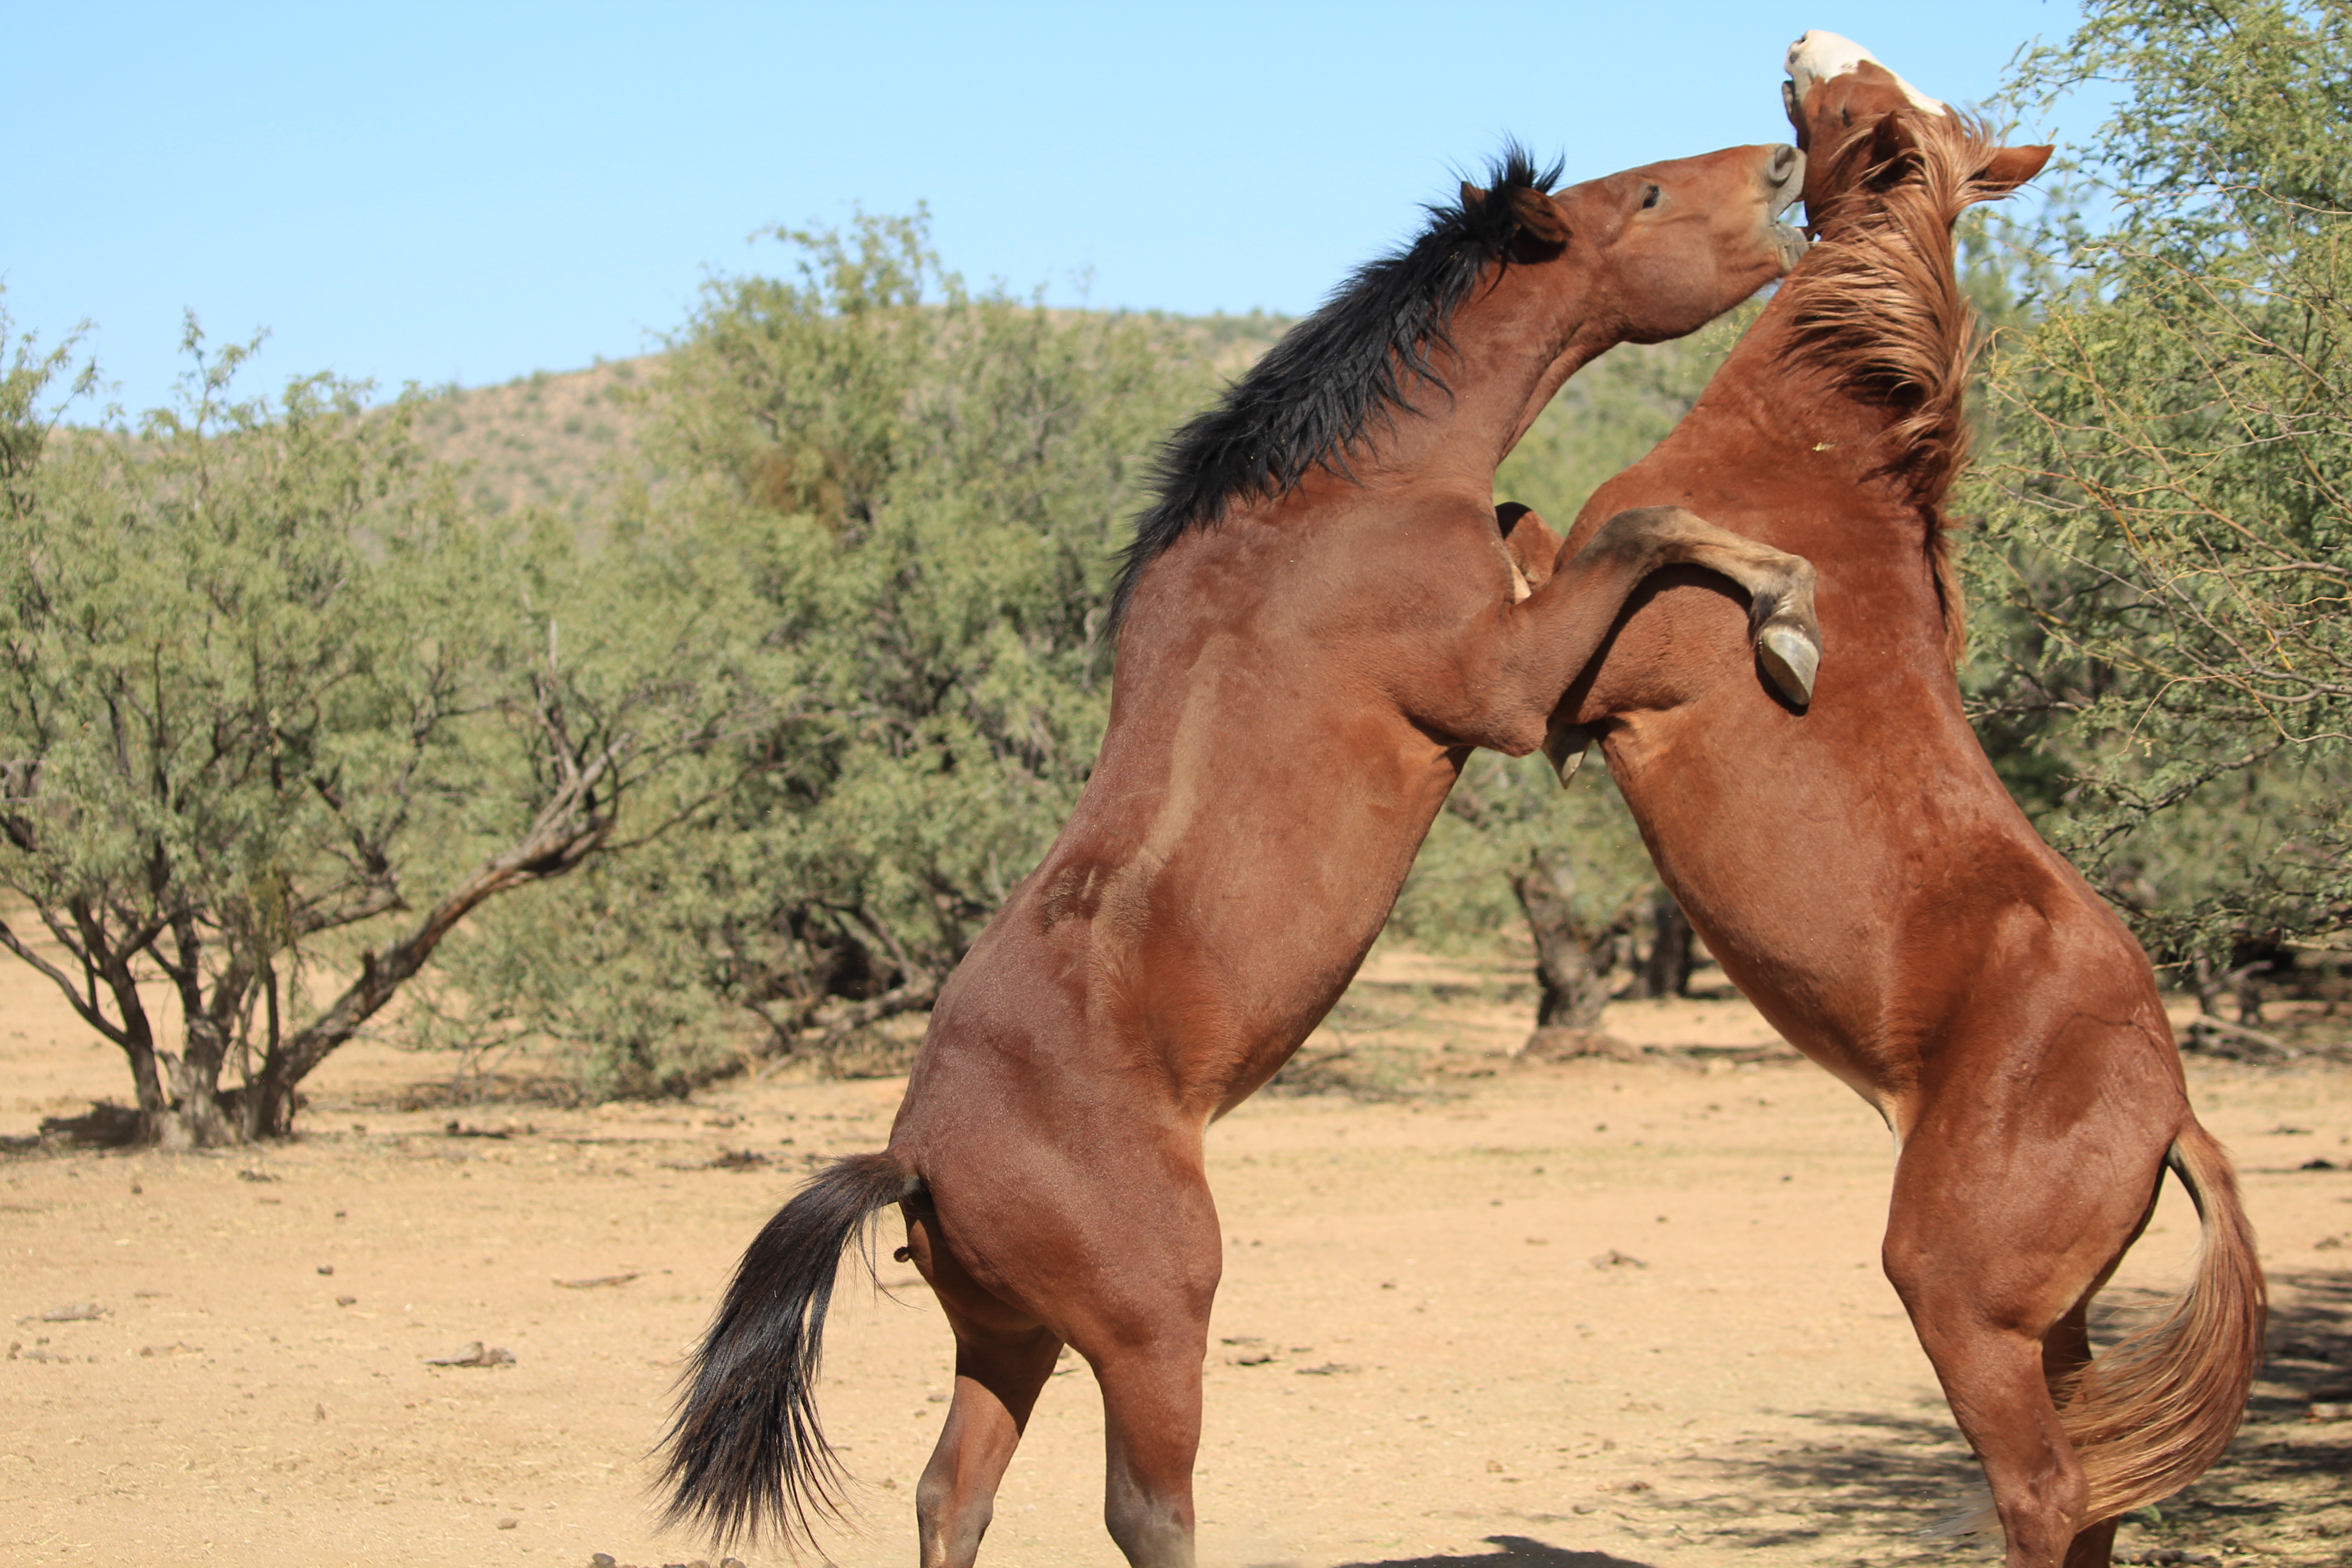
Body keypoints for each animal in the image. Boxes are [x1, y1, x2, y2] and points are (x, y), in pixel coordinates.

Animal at [663, 141, 1816, 1561]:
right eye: (1643, 197)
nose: (1780, 166)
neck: (1344, 502)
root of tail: (916, 1160)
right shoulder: (1503, 688)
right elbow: (1643, 523)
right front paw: (1786, 610)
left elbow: (1562, 522)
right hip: (1153, 1325)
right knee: (1146, 1510)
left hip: (1008, 1339)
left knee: (951, 1492)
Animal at [1524, 34, 2258, 1568]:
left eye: (1859, 109)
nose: (1808, 45)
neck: (1805, 461)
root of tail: (2173, 1116)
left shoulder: (1592, 676)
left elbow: (1543, 536)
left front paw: (1785, 630)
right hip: (2055, 1327)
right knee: (2095, 1501)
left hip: (1957, 1299)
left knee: (2048, 1493)